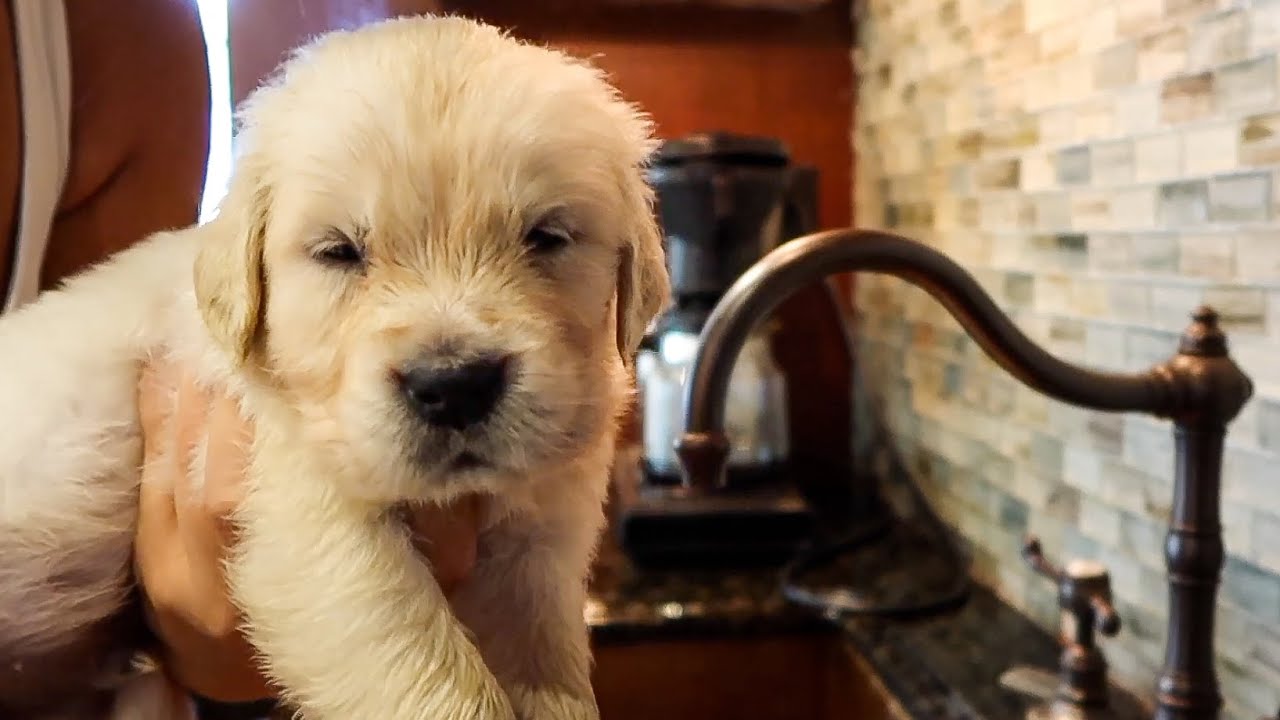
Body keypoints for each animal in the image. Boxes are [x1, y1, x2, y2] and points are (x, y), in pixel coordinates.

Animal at [0, 12, 675, 717]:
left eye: (546, 237)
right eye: (339, 251)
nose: (454, 386)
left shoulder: (538, 540)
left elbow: (547, 664)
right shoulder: (314, 520)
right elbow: (433, 680)